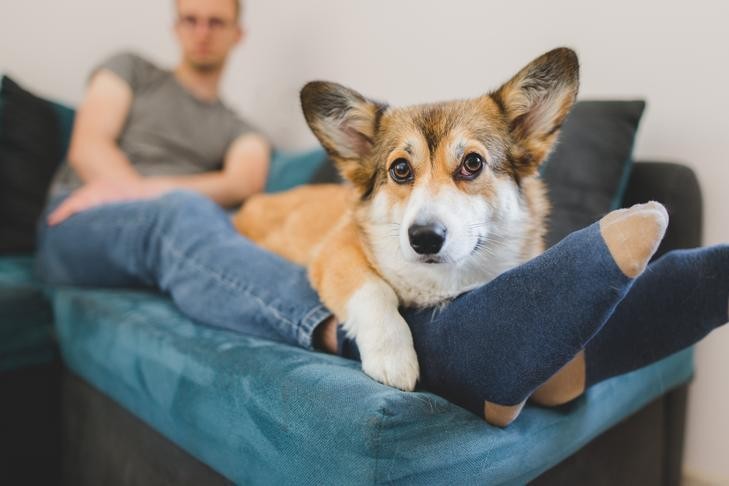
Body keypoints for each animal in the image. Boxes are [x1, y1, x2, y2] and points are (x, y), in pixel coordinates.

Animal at [236, 48, 576, 392]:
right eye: (400, 169)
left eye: (473, 163)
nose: (424, 237)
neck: (439, 280)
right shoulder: (336, 252)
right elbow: (374, 290)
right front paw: (392, 358)